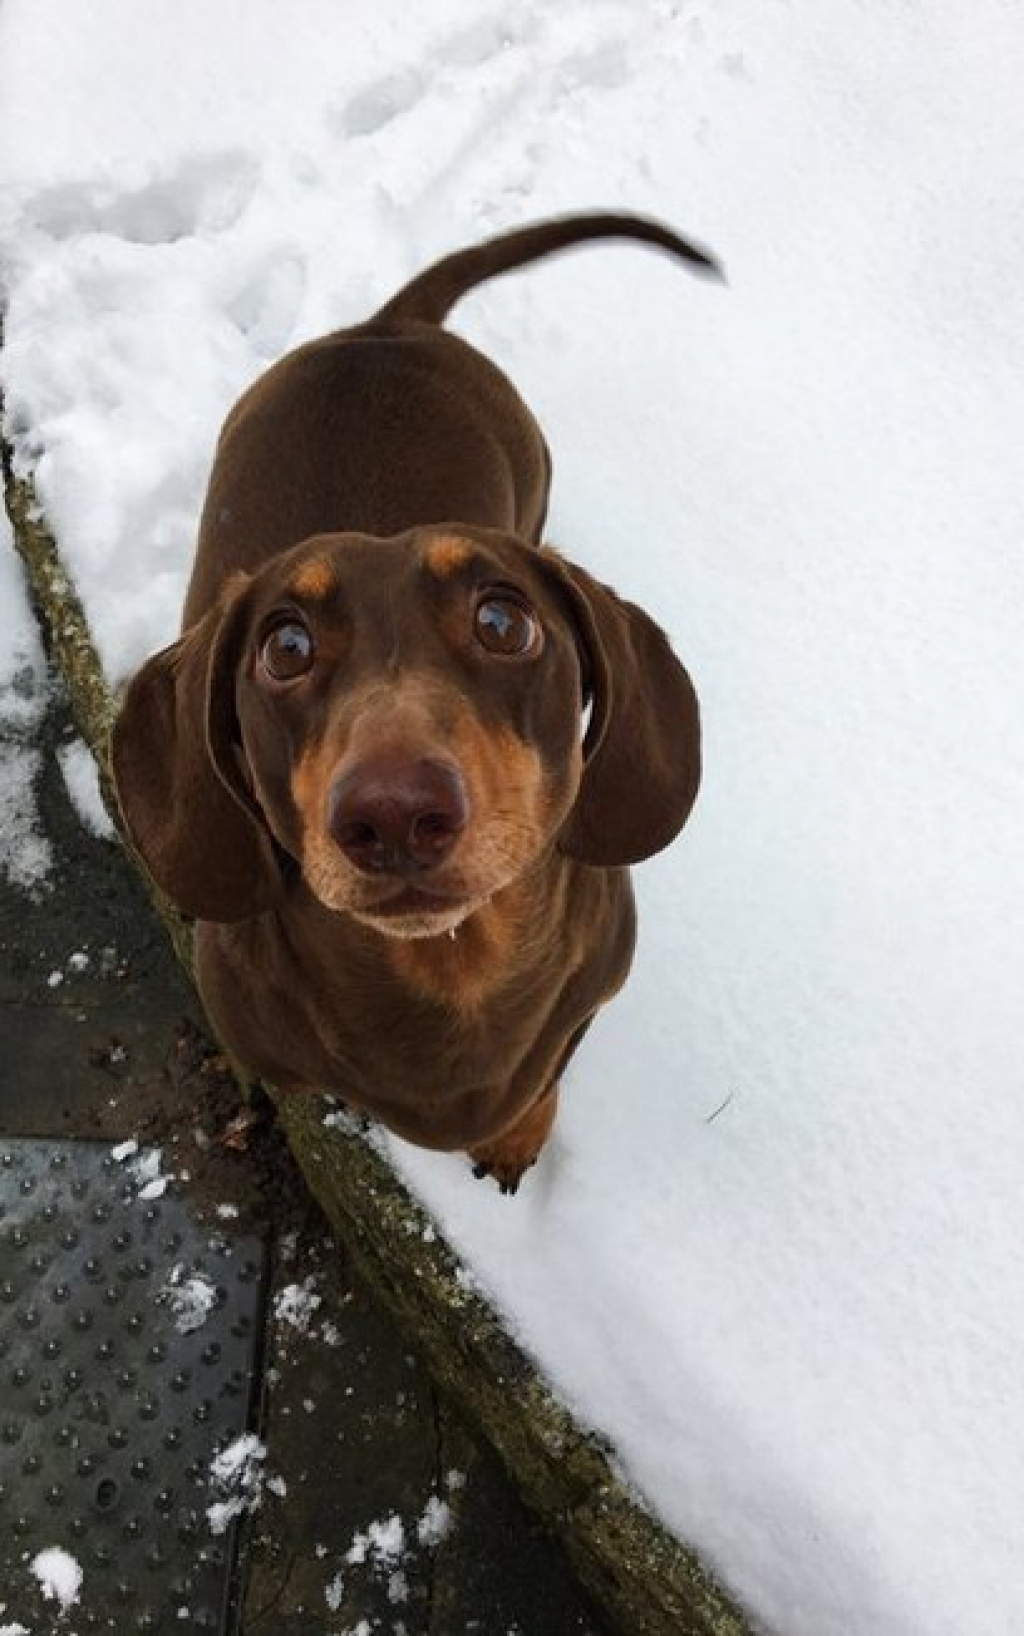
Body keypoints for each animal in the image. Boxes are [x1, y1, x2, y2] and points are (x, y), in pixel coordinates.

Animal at [113, 211, 716, 1197]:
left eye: (505, 621)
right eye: (283, 647)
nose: (394, 815)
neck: (450, 967)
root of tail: (388, 324)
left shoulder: (593, 995)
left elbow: (543, 1078)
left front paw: (515, 1136)